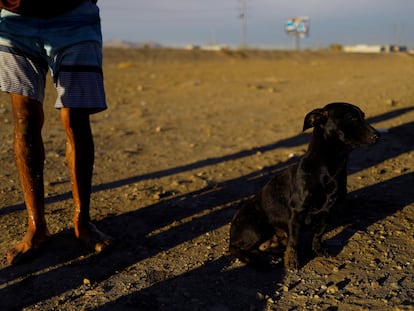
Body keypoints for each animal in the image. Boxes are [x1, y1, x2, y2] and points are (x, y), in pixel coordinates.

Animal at [228, 103, 380, 272]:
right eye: (352, 118)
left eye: (363, 117)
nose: (378, 135)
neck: (329, 169)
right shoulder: (297, 212)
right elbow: (294, 242)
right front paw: (292, 262)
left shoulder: (328, 211)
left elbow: (318, 235)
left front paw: (318, 251)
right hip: (255, 228)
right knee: (235, 248)